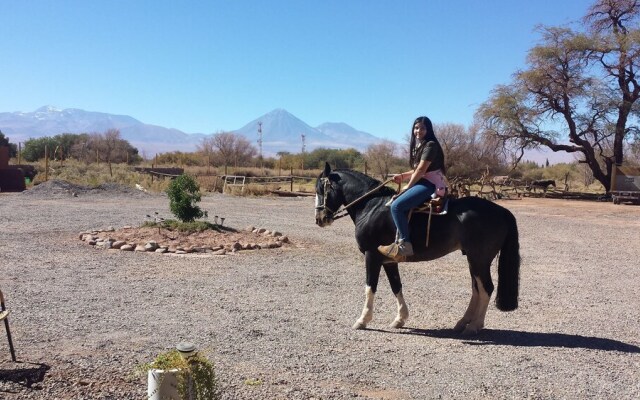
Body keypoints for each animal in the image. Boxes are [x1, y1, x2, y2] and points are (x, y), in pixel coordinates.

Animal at [316, 162, 520, 334]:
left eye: (320, 189)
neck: (370, 207)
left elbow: (370, 287)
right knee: (477, 289)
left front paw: (362, 320)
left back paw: (474, 326)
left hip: (479, 260)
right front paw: (400, 319)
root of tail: (502, 211)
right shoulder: (388, 261)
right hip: (473, 260)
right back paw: (463, 322)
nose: (320, 219)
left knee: (486, 288)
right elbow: (396, 286)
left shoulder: (371, 256)